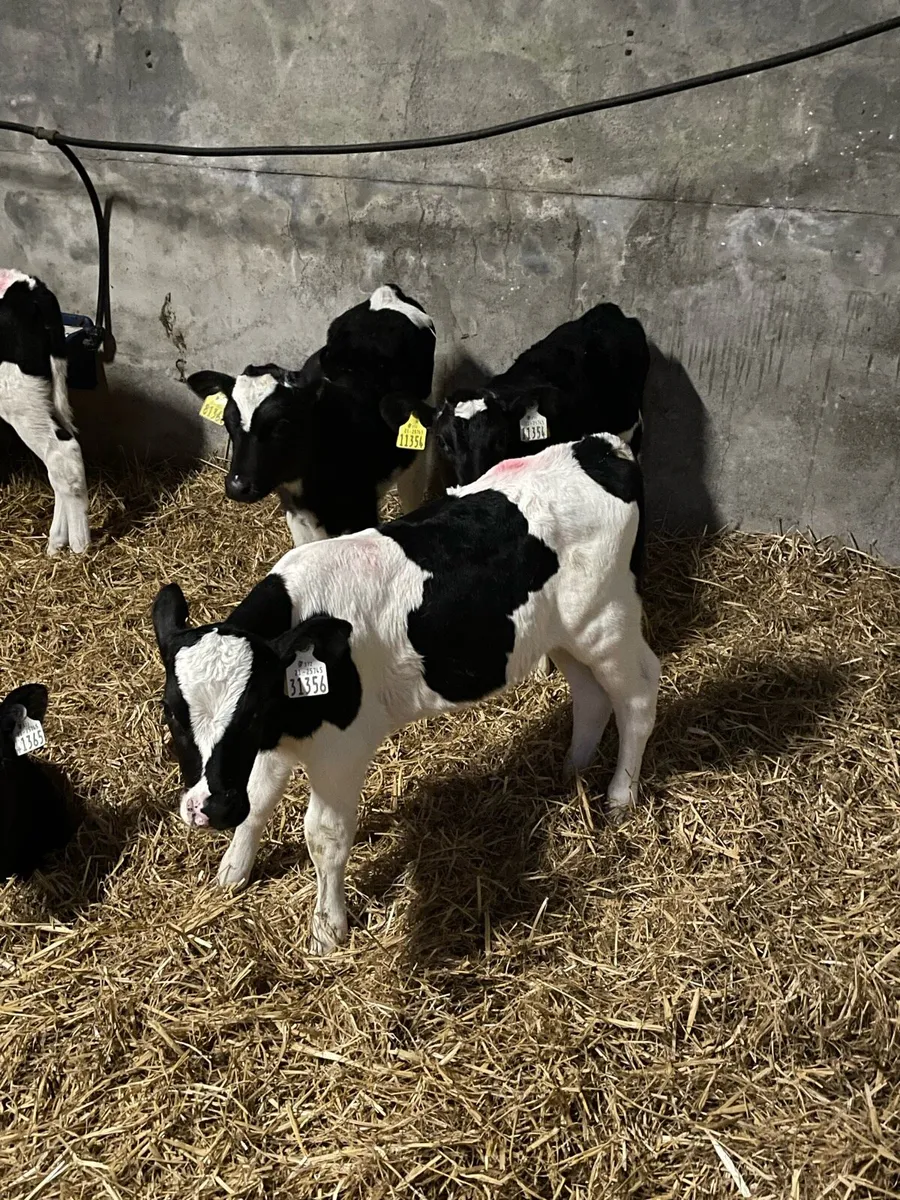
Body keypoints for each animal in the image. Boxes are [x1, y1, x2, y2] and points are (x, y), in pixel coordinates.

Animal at [153, 432, 659, 954]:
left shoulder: (339, 749)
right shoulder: (278, 743)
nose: (210, 808)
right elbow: (259, 798)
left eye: (251, 711)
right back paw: (572, 770)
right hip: (562, 634)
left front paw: (327, 929)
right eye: (170, 712)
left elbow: (325, 837)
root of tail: (602, 446)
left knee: (639, 695)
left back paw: (620, 796)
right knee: (591, 695)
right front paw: (233, 871)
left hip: (608, 622)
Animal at [187, 284, 436, 546]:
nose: (237, 486)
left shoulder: (362, 513)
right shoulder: (296, 517)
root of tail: (386, 293)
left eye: (282, 425)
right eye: (227, 421)